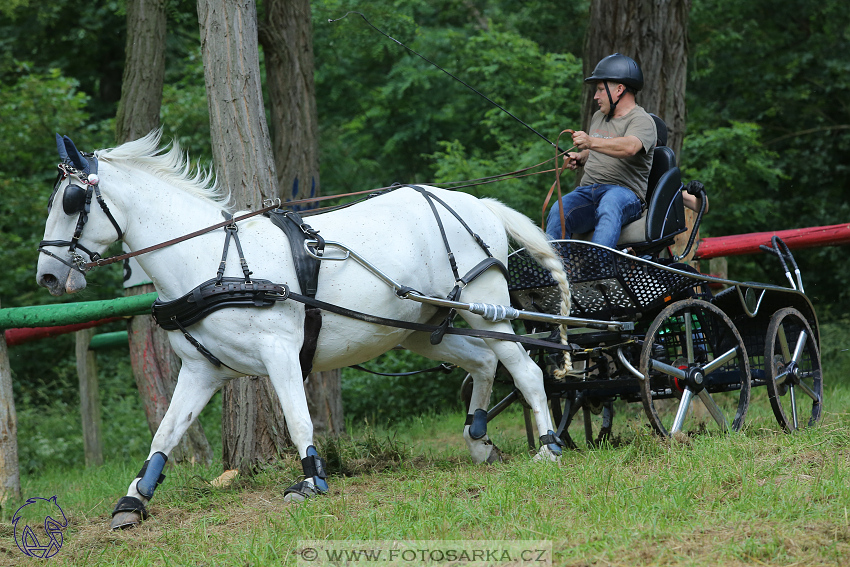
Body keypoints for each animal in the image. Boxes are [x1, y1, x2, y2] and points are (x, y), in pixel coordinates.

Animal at [38, 132, 568, 528]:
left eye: (72, 200)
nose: (46, 276)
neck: (213, 264)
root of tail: (478, 202)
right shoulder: (200, 370)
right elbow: (166, 434)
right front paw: (134, 499)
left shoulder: (280, 353)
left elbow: (298, 419)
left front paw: (312, 481)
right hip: (417, 329)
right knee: (484, 362)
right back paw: (478, 439)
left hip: (486, 308)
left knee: (526, 371)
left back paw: (548, 447)